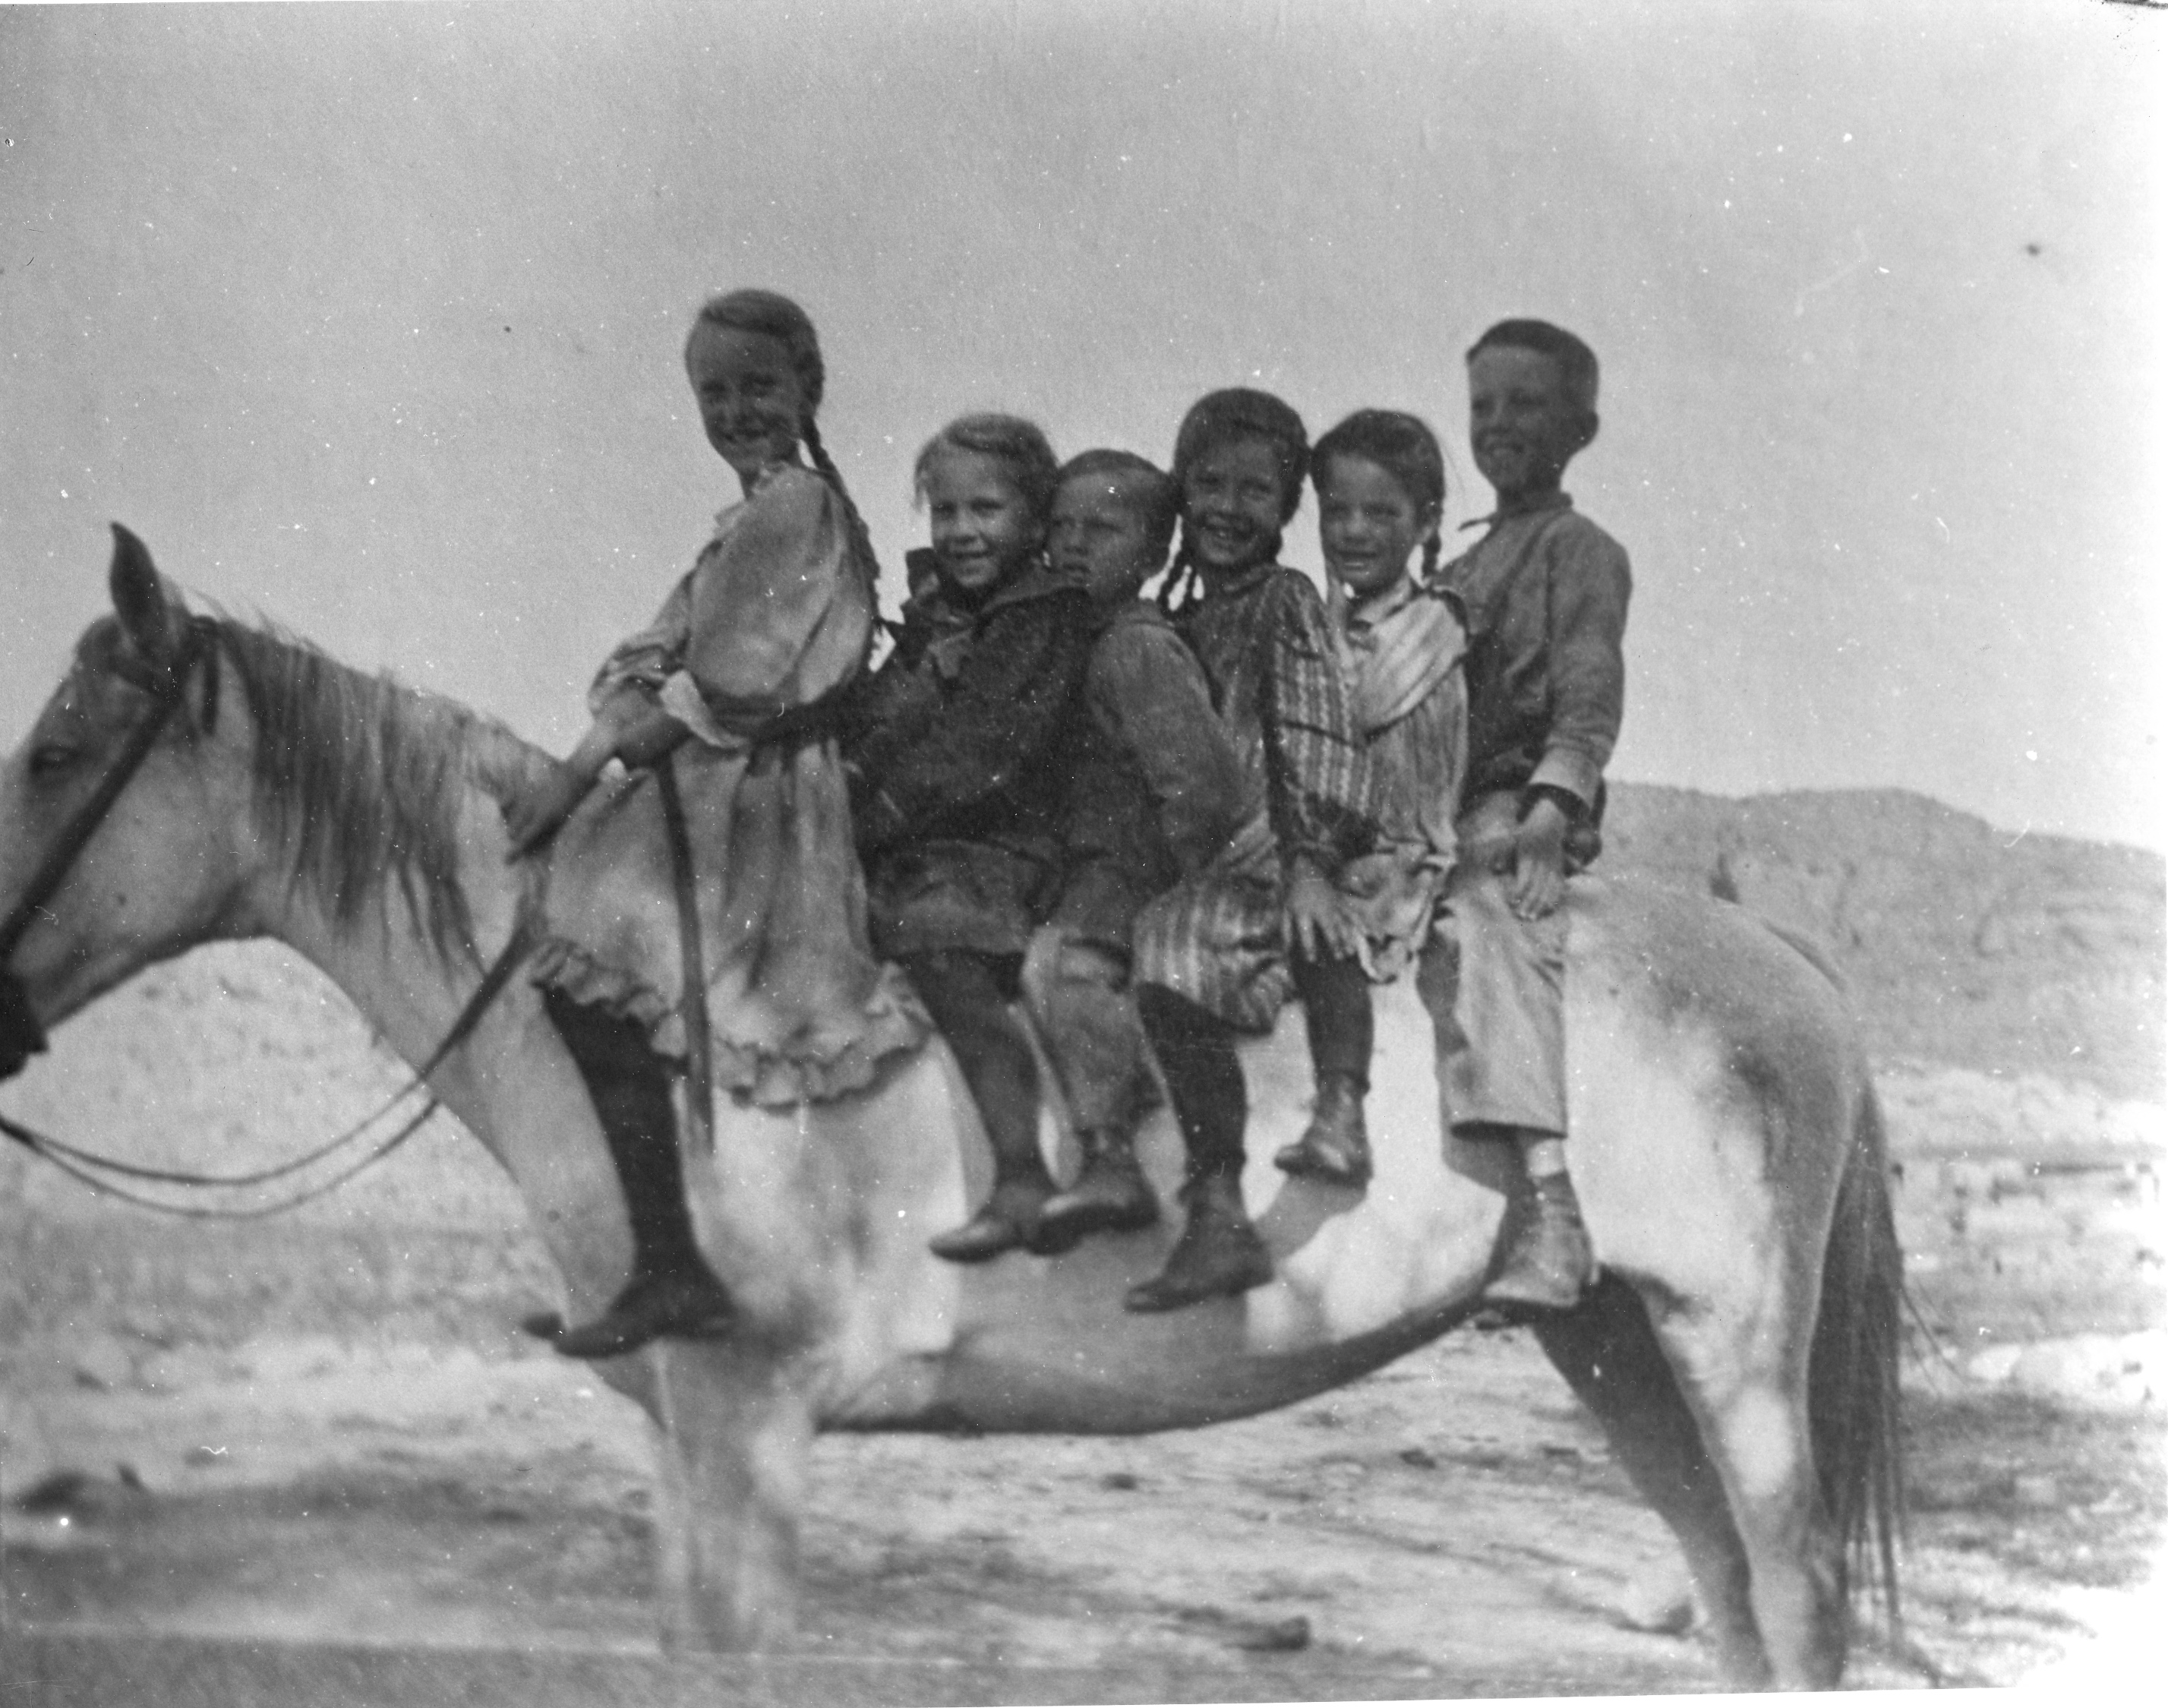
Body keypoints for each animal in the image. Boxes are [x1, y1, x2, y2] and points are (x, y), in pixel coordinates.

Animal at [0, 531, 1898, 1681]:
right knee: (1731, 1602)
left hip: (1726, 1342)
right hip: (1606, 1337)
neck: (648, 1034)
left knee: (1792, 1597)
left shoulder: (749, 1422)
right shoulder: (683, 1441)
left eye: (54, 751)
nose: (0, 1008)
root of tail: (1797, 966)